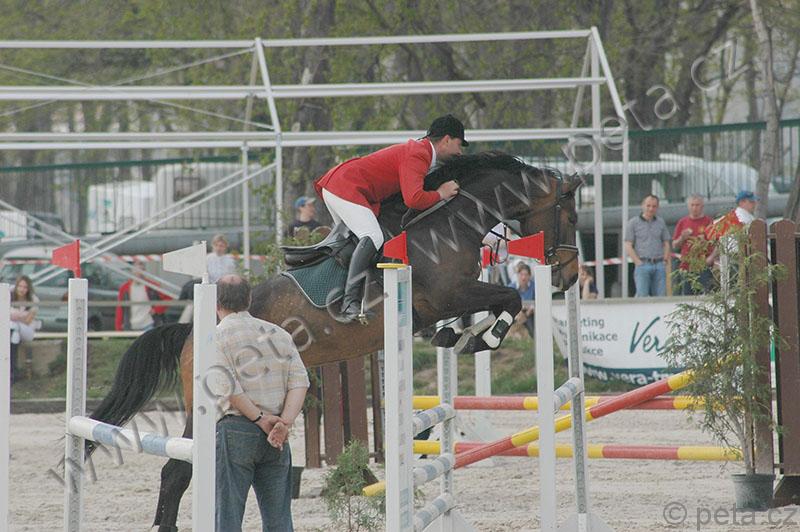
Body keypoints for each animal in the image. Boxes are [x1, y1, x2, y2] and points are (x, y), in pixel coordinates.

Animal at [86, 152, 582, 531]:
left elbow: (481, 311)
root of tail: (193, 331)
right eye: (571, 215)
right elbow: (510, 297)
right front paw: (485, 338)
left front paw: (461, 335)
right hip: (207, 404)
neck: (451, 221)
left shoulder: (449, 299)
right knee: (176, 469)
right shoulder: (448, 293)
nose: (570, 277)